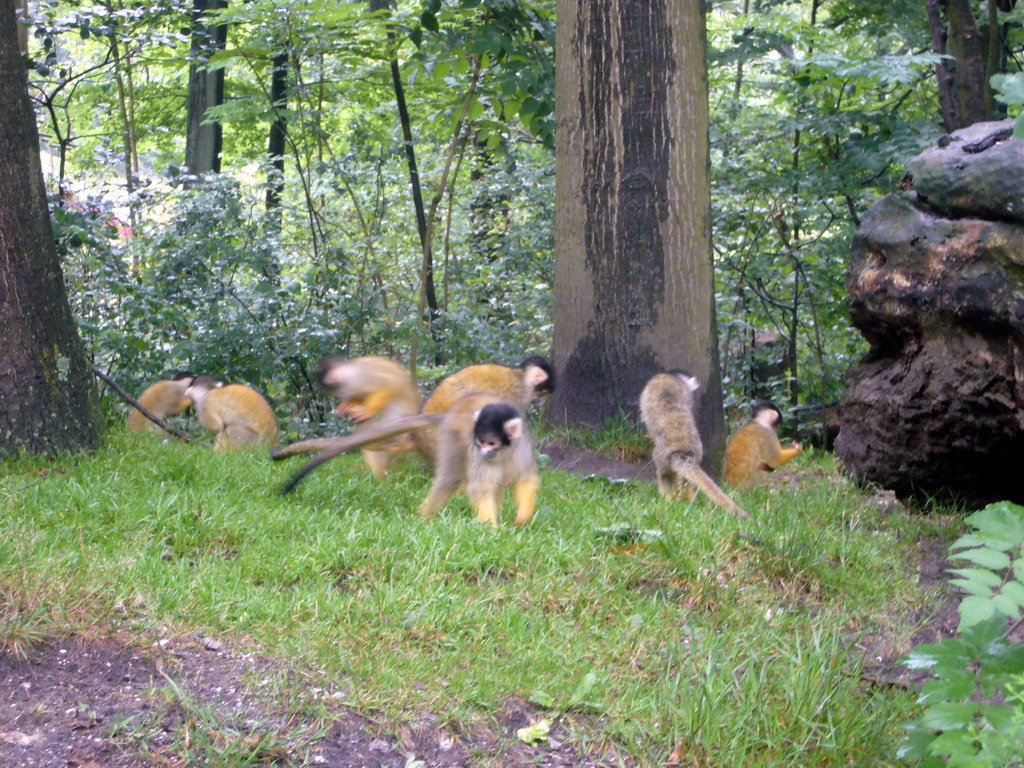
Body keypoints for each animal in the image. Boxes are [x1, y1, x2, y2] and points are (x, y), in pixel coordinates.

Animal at [638, 370, 753, 520]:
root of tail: (681, 450)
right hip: (697, 451)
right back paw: (686, 498)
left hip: (661, 455)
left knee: (664, 473)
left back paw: (668, 498)